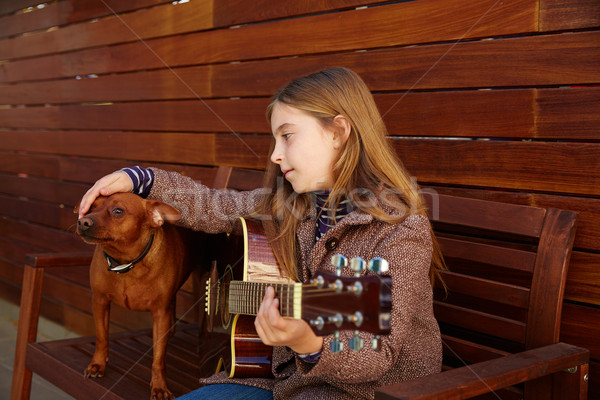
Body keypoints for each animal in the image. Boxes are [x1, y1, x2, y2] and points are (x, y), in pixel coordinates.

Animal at [75, 192, 197, 398]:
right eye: (90, 207)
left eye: (118, 211)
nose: (83, 222)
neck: (126, 263)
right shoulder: (100, 302)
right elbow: (101, 338)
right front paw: (98, 364)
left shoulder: (160, 314)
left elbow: (159, 358)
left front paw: (160, 386)